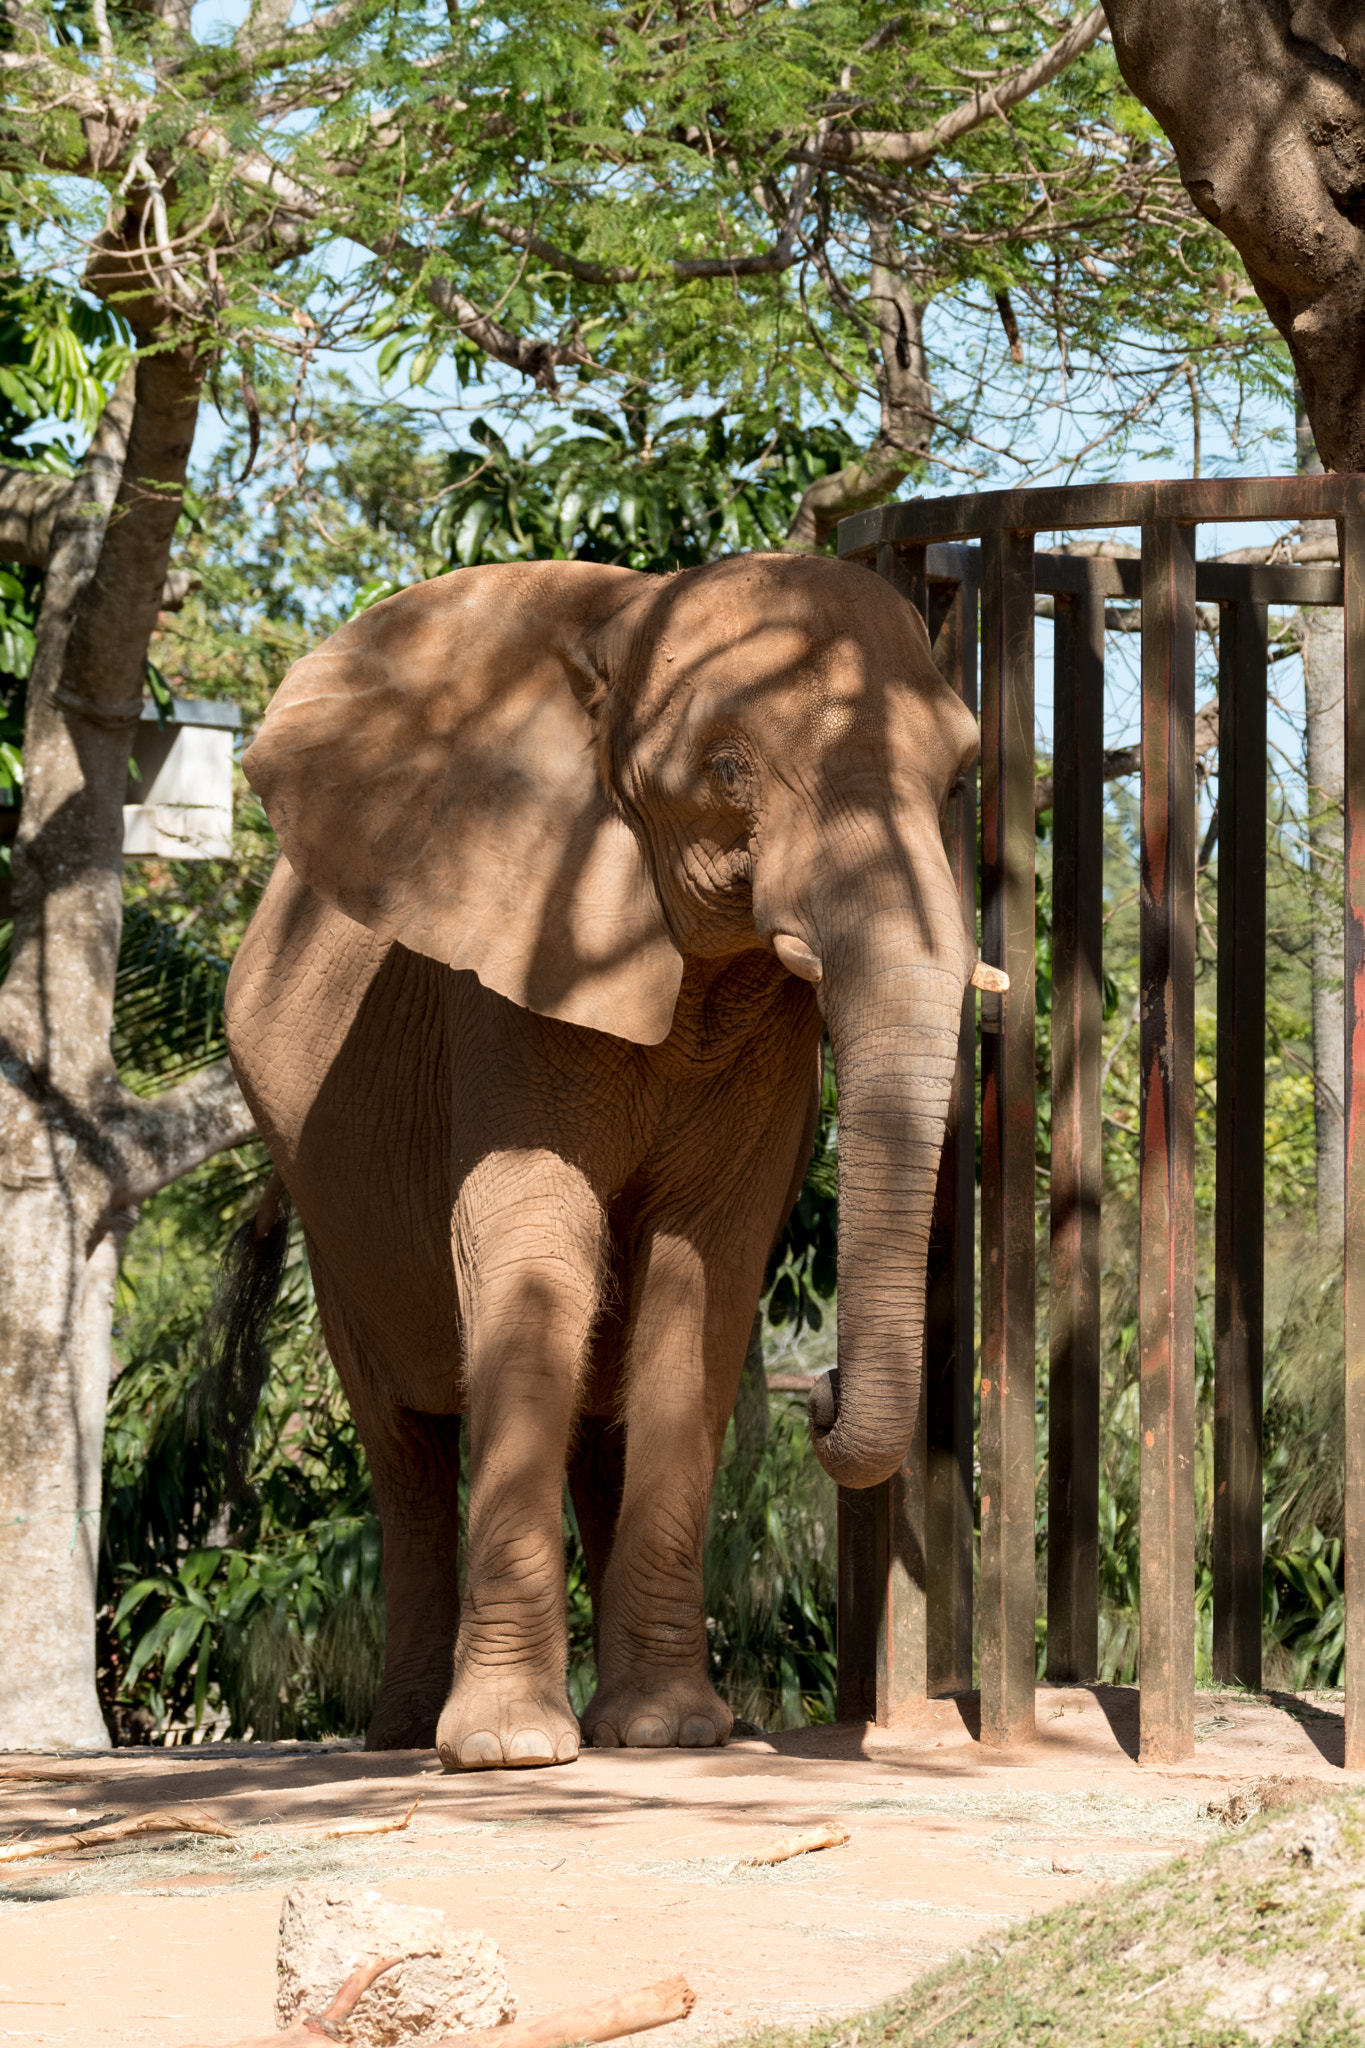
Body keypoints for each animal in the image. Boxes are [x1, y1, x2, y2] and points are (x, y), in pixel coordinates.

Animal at [229, 552, 986, 1769]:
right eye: (725, 767)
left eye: (961, 775)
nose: (819, 1398)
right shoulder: (511, 969)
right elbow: (529, 1238)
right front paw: (508, 1750)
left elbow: (704, 1268)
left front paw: (671, 1733)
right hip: (320, 1199)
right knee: (403, 1441)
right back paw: (400, 1738)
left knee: (600, 1406)